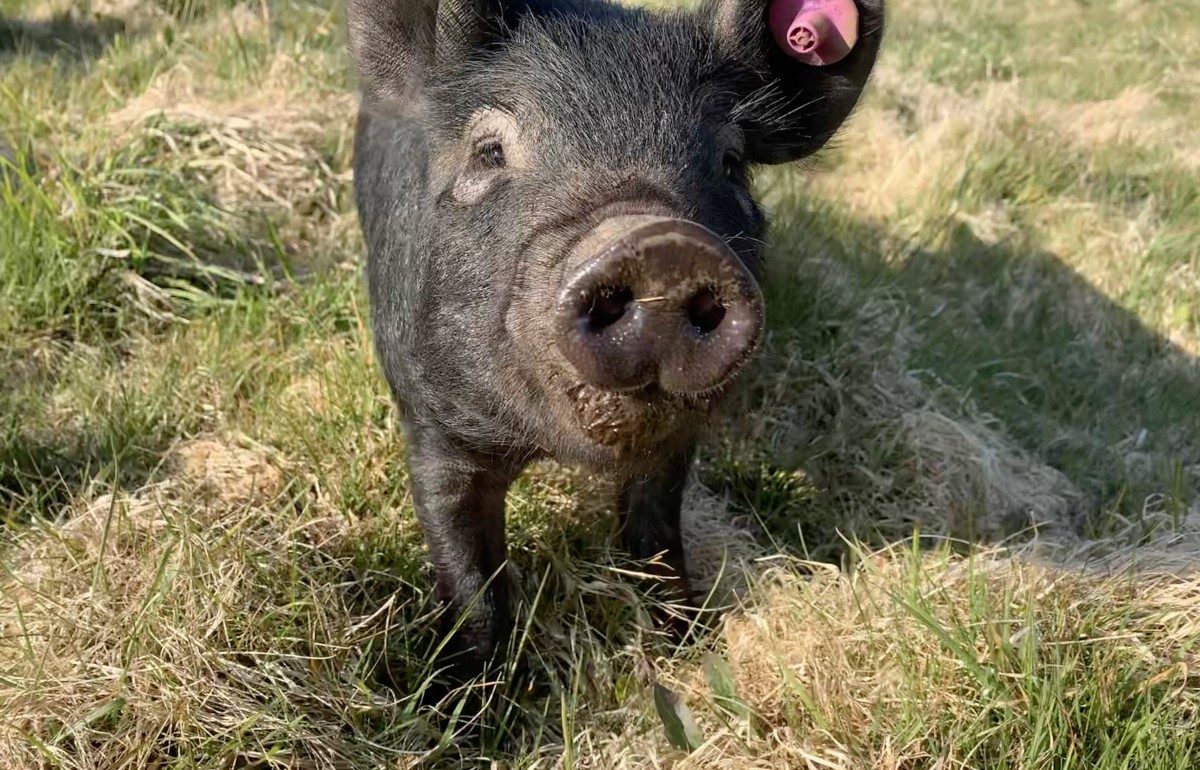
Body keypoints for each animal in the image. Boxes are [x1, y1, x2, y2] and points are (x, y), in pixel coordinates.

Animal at [348, 0, 883, 671]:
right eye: (489, 150)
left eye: (731, 162)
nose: (661, 246)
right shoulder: (432, 421)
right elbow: (469, 571)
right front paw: (472, 692)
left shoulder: (678, 441)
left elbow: (655, 532)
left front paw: (690, 644)